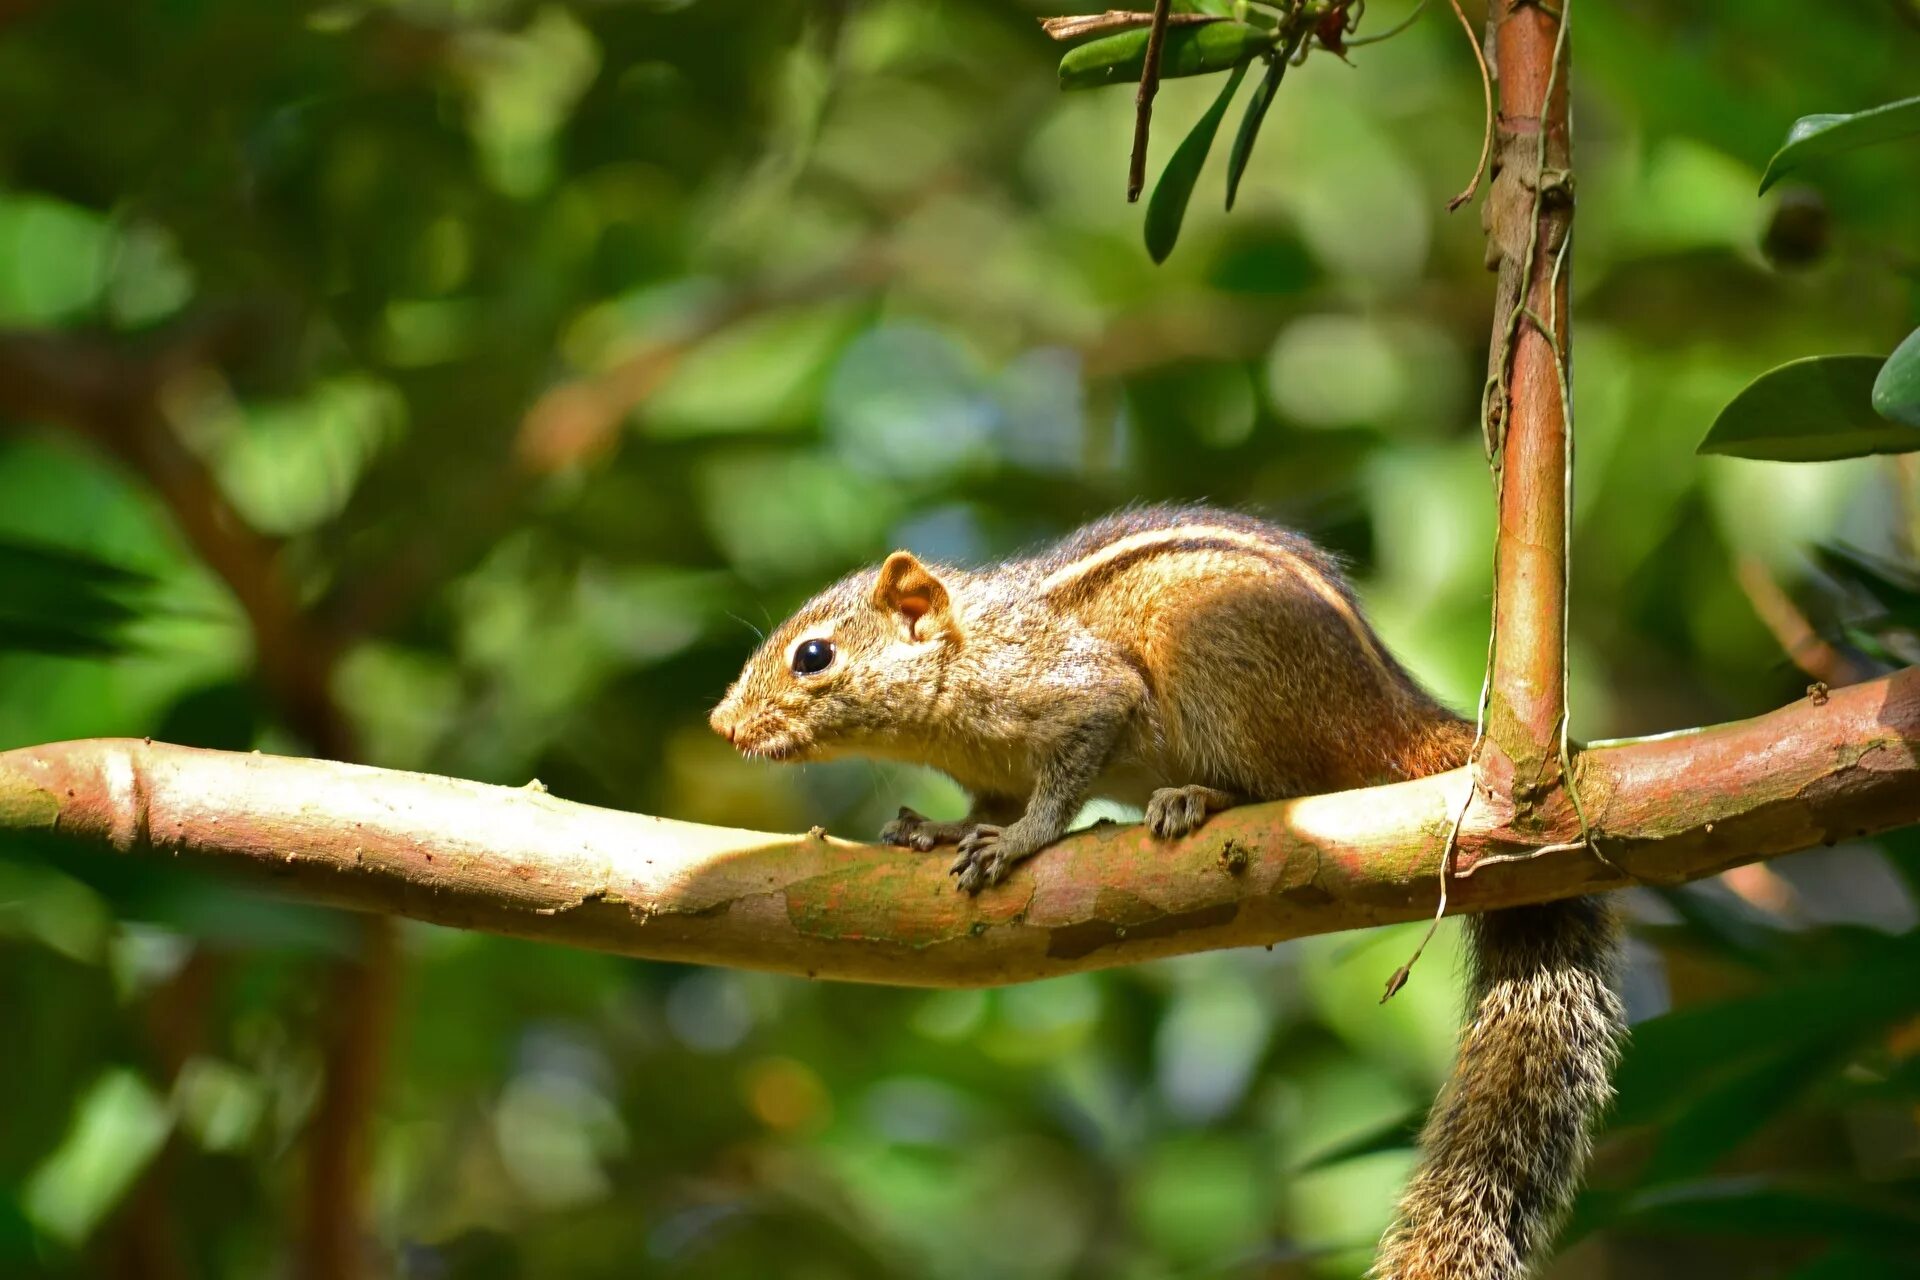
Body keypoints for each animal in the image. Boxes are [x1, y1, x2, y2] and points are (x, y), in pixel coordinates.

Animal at [710, 506, 1620, 1274]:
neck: (965, 657)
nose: (722, 725)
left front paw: (1019, 842)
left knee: (1290, 787)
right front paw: (937, 830)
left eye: (814, 656)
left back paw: (1199, 798)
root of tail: (1396, 716)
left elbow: (1065, 775)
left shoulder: (1077, 692)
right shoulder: (990, 772)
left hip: (1225, 670)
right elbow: (987, 804)